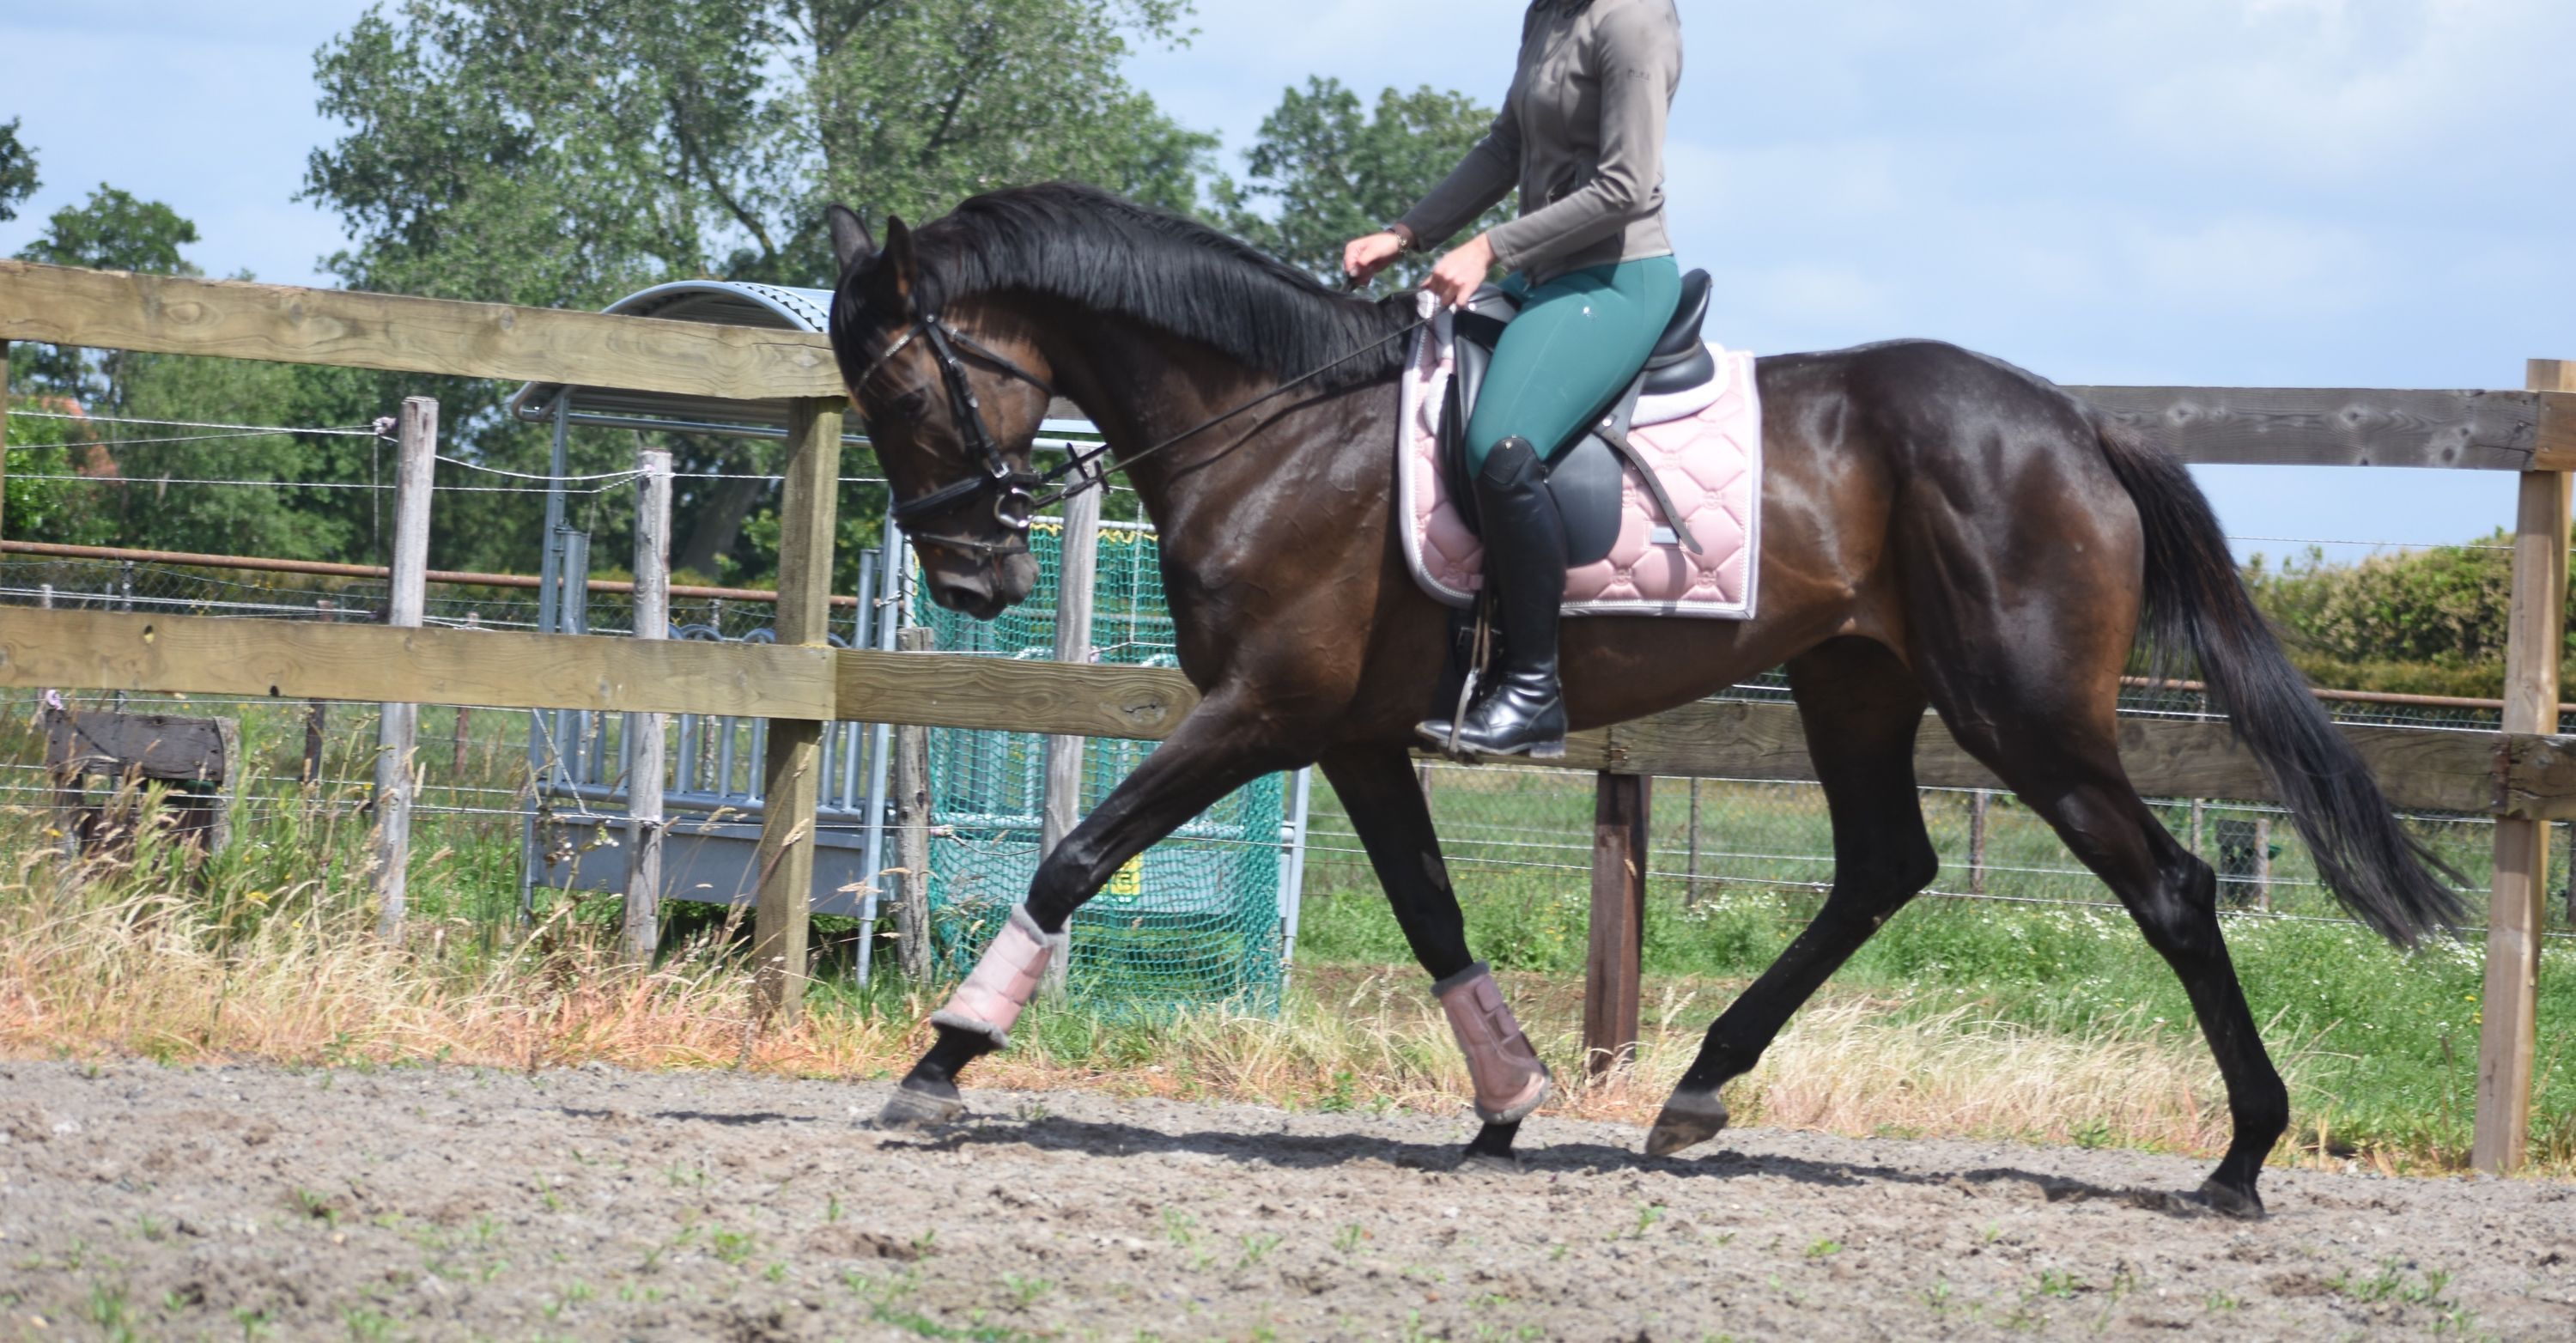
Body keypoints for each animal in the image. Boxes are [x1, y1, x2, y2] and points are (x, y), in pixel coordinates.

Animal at [821, 182, 2461, 1218]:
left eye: (897, 391)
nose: (969, 576)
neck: (1277, 429)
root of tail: (2069, 422)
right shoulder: (1354, 736)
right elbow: (1430, 911)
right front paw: (1507, 1098)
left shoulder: (1266, 710)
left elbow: (1078, 853)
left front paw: (943, 1055)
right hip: (1856, 683)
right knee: (1883, 865)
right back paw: (1695, 1091)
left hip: (2028, 714)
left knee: (2171, 888)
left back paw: (2242, 1161)